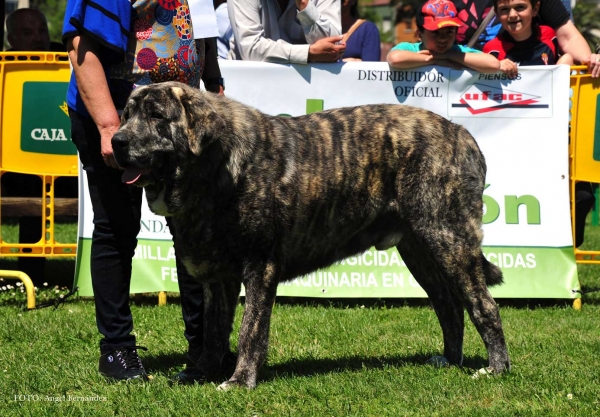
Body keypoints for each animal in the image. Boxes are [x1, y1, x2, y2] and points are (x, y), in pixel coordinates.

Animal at [112, 82, 510, 390]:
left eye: (157, 116)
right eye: (127, 114)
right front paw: (202, 374)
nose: (116, 141)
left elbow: (249, 330)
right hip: (419, 249)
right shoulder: (217, 279)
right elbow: (213, 330)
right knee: (448, 304)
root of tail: (461, 132)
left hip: (448, 238)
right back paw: (450, 359)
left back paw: (496, 368)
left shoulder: (260, 266)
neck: (214, 168)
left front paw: (240, 380)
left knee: (483, 305)